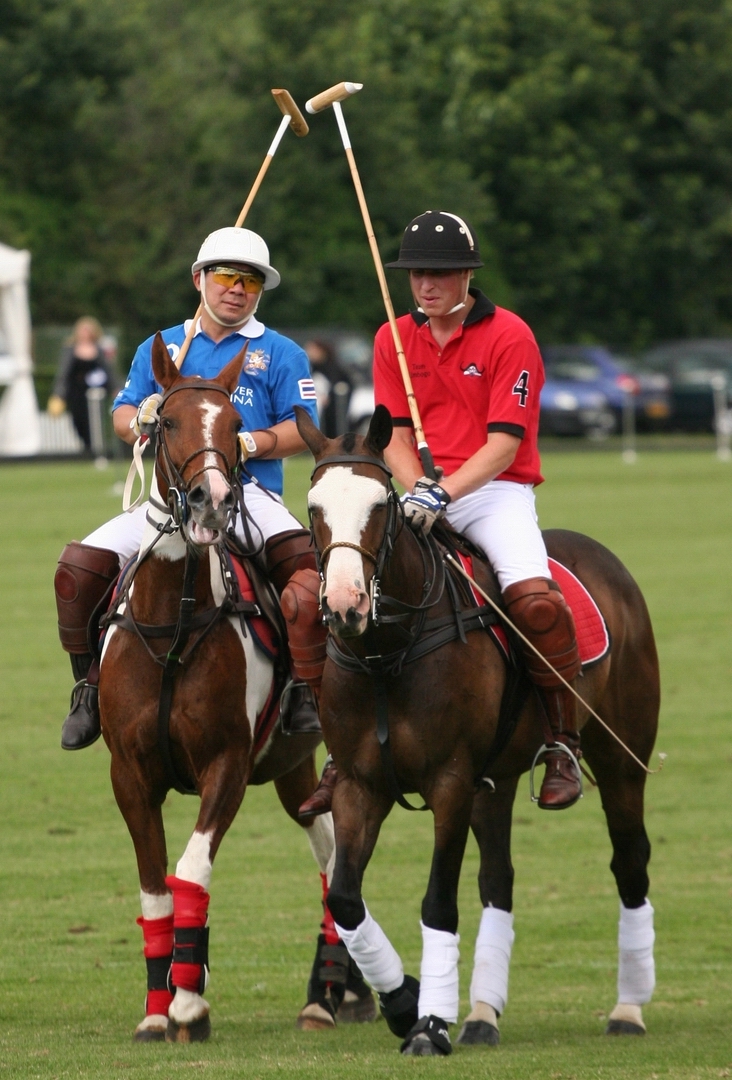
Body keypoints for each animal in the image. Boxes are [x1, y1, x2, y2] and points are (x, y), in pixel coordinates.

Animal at [97, 339, 373, 1045]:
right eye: (165, 421)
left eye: (234, 427)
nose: (211, 502)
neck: (174, 622)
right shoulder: (128, 773)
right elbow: (154, 888)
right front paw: (156, 1008)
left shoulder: (226, 763)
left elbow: (190, 871)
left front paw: (190, 1004)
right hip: (295, 768)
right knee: (328, 848)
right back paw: (342, 989)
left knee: (338, 858)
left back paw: (327, 994)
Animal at [295, 403, 660, 1054]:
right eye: (315, 507)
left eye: (382, 505)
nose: (344, 606)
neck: (386, 653)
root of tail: (604, 557)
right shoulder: (361, 785)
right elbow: (345, 898)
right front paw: (404, 1003)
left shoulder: (450, 781)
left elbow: (439, 902)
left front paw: (428, 1026)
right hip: (498, 777)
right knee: (499, 879)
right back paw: (483, 1015)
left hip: (622, 758)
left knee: (629, 861)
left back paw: (627, 1009)